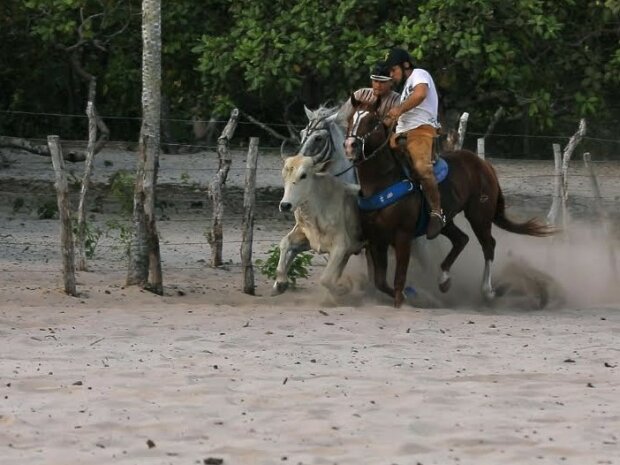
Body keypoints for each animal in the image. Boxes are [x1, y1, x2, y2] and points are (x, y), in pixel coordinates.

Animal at [274, 154, 366, 296]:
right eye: (284, 175)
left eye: (303, 175)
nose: (285, 205)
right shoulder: (306, 237)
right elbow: (285, 243)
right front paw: (280, 282)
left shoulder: (341, 247)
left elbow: (325, 279)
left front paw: (342, 290)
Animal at [344, 94, 556, 308]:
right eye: (351, 118)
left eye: (372, 121)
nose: (350, 146)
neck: (385, 180)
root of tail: (484, 165)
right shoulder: (375, 240)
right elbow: (380, 282)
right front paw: (410, 295)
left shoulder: (403, 236)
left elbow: (398, 280)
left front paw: (402, 301)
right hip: (446, 221)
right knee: (461, 239)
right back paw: (444, 280)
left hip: (479, 215)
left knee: (488, 245)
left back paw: (488, 292)